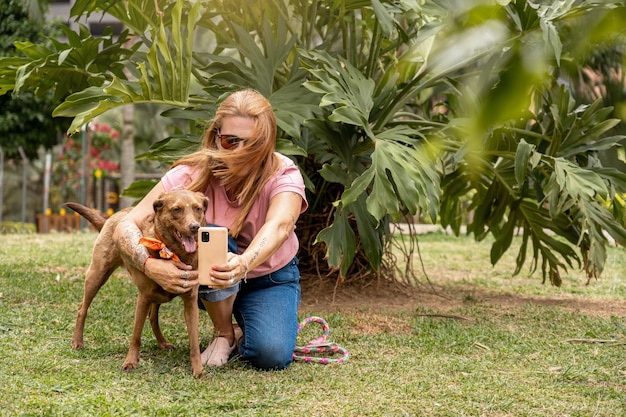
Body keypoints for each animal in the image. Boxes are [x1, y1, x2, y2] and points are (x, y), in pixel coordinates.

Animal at [66, 190, 208, 376]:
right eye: (176, 209)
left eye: (198, 209)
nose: (194, 227)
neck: (174, 253)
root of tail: (114, 216)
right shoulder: (144, 298)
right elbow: (136, 336)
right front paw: (130, 362)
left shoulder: (190, 301)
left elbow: (194, 341)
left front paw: (198, 370)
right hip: (96, 275)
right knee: (82, 308)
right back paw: (77, 341)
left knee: (153, 317)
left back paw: (162, 343)